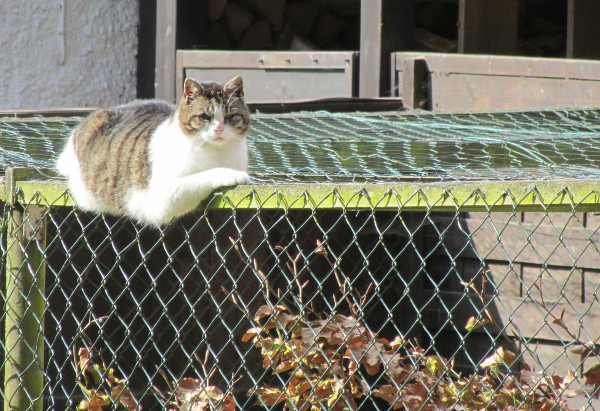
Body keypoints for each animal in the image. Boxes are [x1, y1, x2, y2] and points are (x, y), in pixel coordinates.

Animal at [56, 75, 251, 227]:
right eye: (204, 117)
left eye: (230, 117)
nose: (218, 128)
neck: (217, 152)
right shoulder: (165, 195)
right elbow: (209, 173)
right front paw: (232, 174)